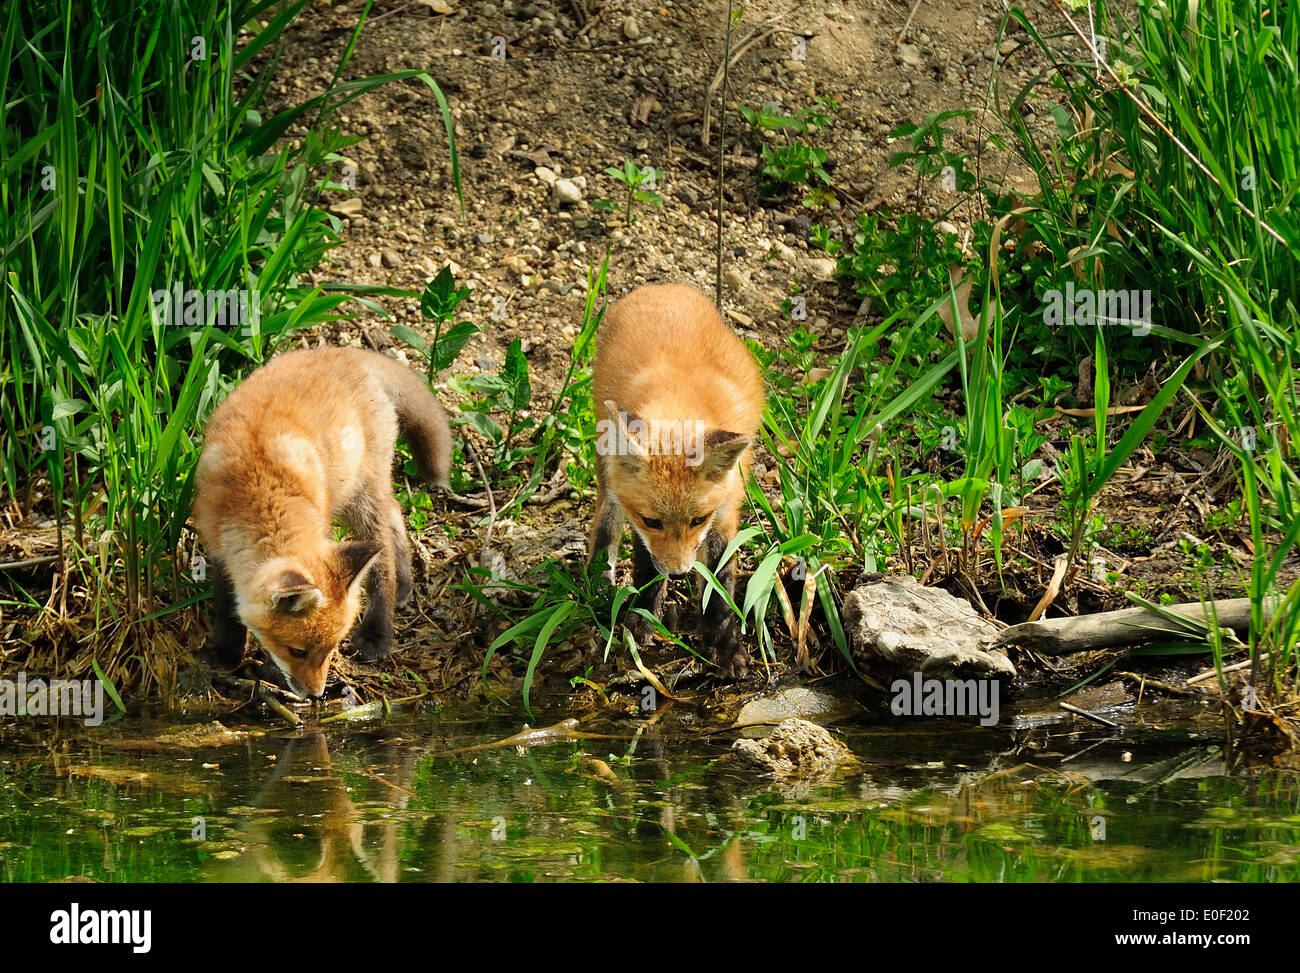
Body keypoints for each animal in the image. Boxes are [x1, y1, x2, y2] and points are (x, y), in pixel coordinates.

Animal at [192, 346, 452, 699]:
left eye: (331, 650)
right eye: (297, 651)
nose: (316, 695)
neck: (257, 490)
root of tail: (348, 353)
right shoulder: (219, 546)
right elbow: (226, 606)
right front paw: (226, 652)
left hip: (361, 491)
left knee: (383, 549)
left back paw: (378, 632)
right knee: (396, 515)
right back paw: (404, 585)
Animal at [589, 282, 765, 677]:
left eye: (698, 520)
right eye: (652, 521)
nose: (681, 573)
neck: (679, 404)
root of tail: (661, 287)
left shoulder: (725, 508)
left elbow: (719, 578)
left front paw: (724, 642)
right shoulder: (640, 523)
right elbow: (644, 563)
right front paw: (643, 617)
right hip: (607, 460)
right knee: (606, 520)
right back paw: (598, 580)